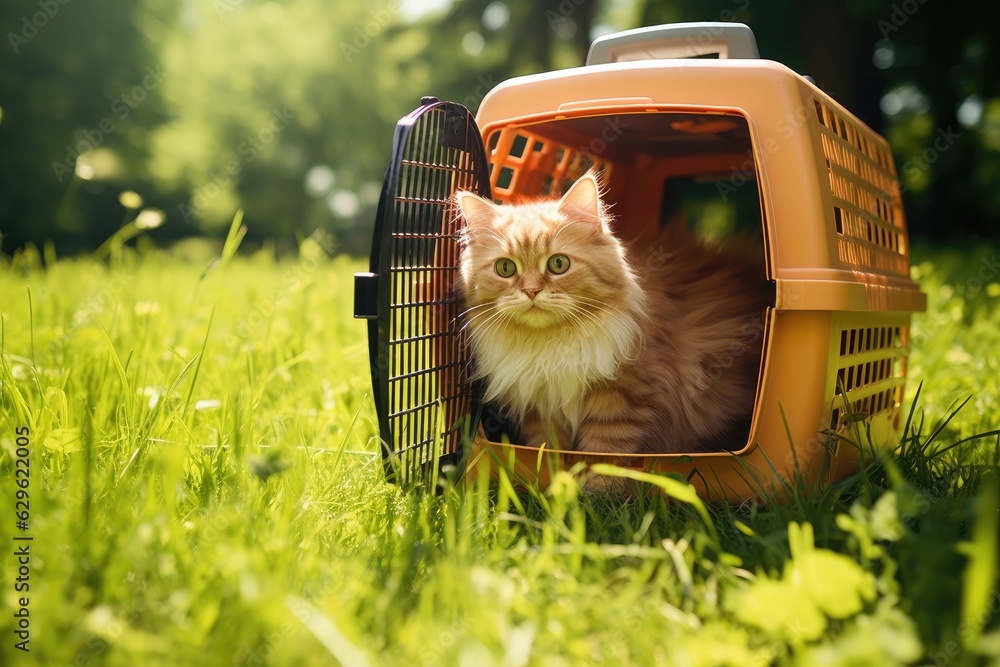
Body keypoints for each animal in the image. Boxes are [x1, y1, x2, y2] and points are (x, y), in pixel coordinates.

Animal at [454, 171, 772, 460]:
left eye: (558, 264)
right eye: (505, 268)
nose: (531, 291)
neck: (551, 347)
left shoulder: (624, 402)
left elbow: (604, 457)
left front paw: (592, 484)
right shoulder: (540, 408)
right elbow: (548, 453)